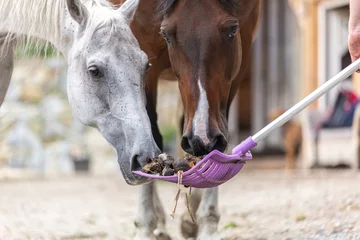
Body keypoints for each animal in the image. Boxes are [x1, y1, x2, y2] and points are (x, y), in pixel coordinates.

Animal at [111, 0, 260, 239]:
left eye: (231, 30)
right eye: (166, 34)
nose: (202, 137)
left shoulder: (243, 47)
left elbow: (221, 139)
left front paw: (207, 222)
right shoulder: (140, 52)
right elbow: (150, 135)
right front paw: (145, 224)